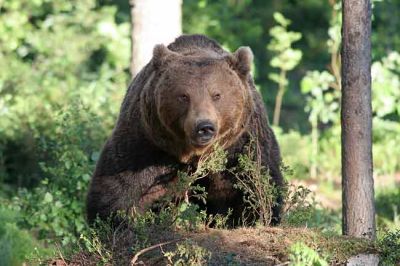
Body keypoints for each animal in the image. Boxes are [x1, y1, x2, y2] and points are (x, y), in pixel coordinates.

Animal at [85, 34, 282, 225]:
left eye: (217, 95)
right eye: (184, 96)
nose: (204, 127)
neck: (193, 154)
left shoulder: (241, 144)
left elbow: (252, 184)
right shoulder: (148, 142)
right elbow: (122, 185)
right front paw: (118, 219)